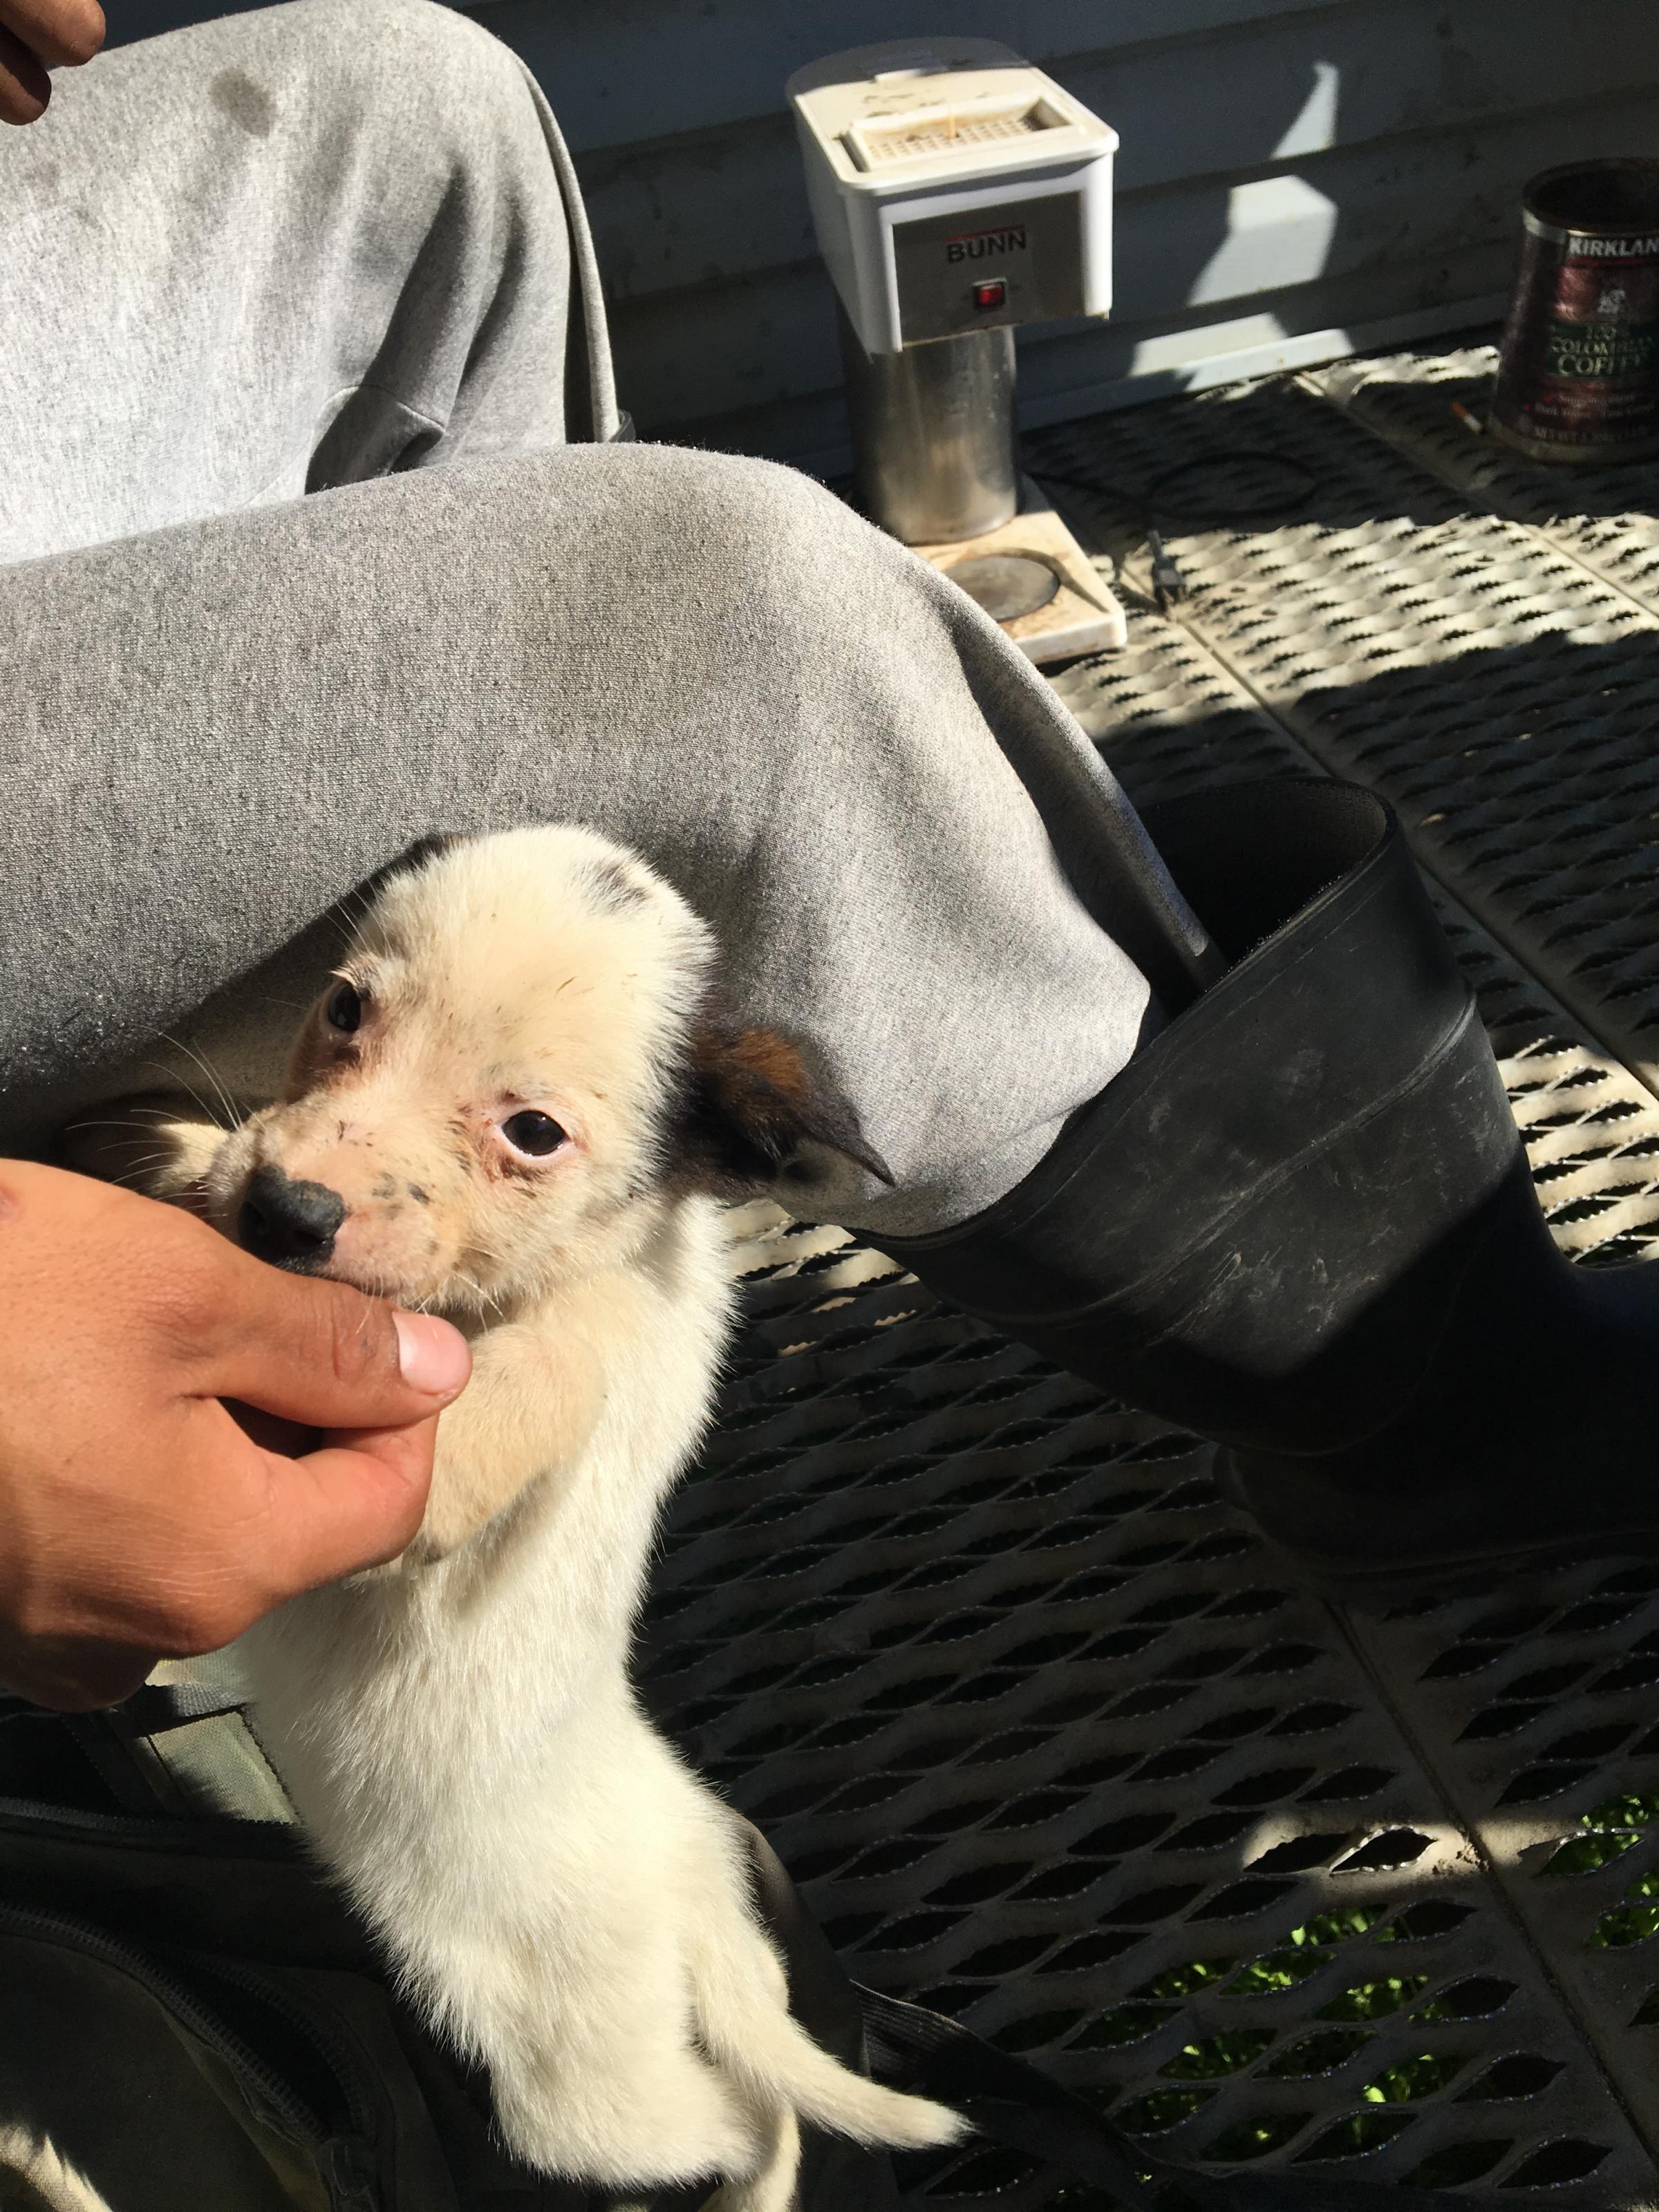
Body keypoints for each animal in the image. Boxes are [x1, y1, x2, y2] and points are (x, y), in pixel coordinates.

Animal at [75, 832, 959, 2212]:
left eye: (533, 1132)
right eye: (344, 1009)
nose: (283, 1212)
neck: (571, 1269)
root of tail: (691, 1900)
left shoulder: (505, 1406)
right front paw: (169, 1158)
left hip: (583, 2087)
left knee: (734, 2124)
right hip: (709, 1986)